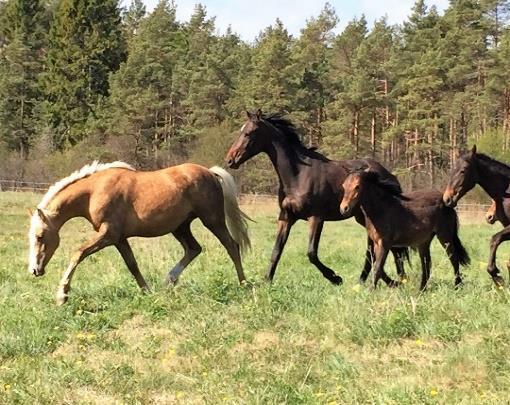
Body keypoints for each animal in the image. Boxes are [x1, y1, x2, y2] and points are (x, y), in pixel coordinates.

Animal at [28, 161, 251, 304]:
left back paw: (244, 284)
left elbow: (78, 253)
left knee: (232, 246)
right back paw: (169, 280)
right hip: (180, 227)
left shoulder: (108, 235)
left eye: (40, 236)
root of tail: (211, 173)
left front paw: (62, 295)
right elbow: (132, 265)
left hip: (212, 220)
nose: (34, 270)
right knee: (194, 249)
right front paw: (147, 292)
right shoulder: (119, 239)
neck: (94, 191)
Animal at [225, 109, 408, 284]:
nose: (229, 160)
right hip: (362, 218)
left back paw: (398, 280)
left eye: (250, 132)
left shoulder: (316, 218)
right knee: (374, 249)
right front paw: (267, 281)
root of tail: (389, 175)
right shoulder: (286, 217)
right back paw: (371, 280)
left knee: (388, 248)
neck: (298, 175)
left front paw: (335, 278)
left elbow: (311, 253)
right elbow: (277, 250)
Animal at [340, 169, 468, 288]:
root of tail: (448, 204)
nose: (343, 208)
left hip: (444, 236)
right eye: (344, 186)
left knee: (453, 258)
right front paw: (396, 284)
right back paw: (421, 290)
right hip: (424, 242)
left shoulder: (385, 244)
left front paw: (372, 290)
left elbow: (377, 268)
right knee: (426, 263)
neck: (381, 209)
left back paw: (457, 286)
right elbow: (377, 266)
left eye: (357, 186)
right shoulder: (376, 243)